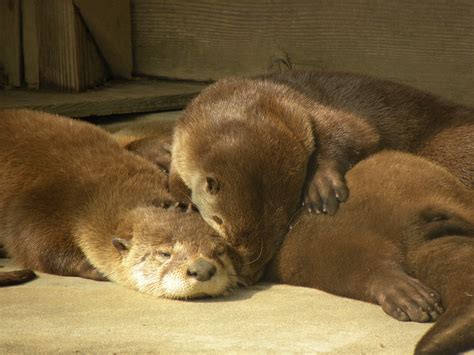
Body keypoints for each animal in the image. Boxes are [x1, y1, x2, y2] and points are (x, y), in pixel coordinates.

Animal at [0, 110, 239, 298]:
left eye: (219, 251)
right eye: (164, 254)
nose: (203, 269)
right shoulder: (38, 206)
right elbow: (33, 246)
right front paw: (92, 268)